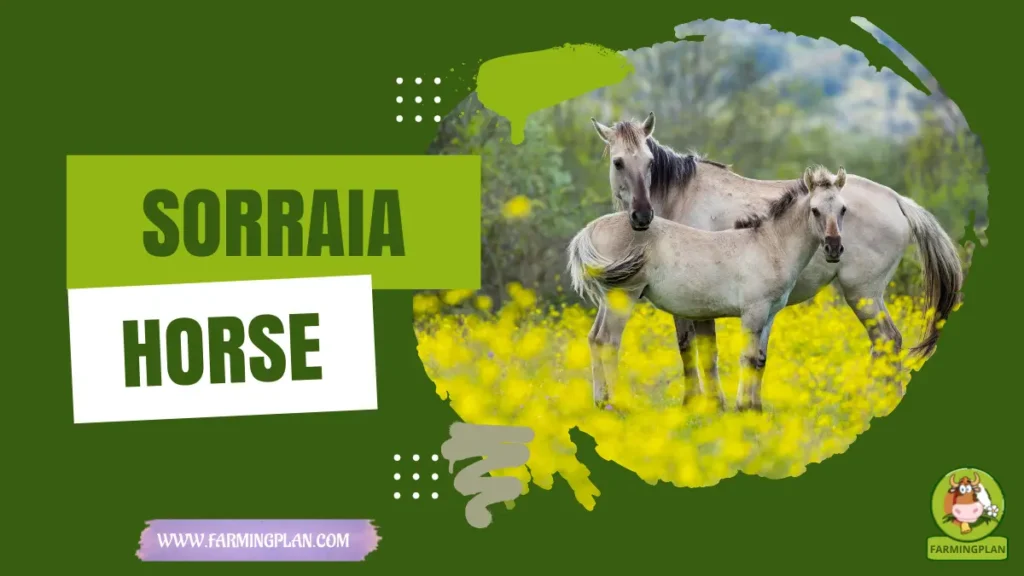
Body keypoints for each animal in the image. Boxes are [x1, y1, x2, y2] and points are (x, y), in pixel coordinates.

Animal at [568, 165, 849, 411]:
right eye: (815, 210)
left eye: (843, 209)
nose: (834, 248)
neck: (769, 245)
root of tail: (590, 229)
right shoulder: (753, 312)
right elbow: (746, 357)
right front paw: (742, 407)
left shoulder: (769, 314)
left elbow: (759, 359)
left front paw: (756, 409)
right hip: (623, 297)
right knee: (608, 341)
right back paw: (620, 404)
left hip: (607, 300)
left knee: (594, 338)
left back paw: (601, 402)